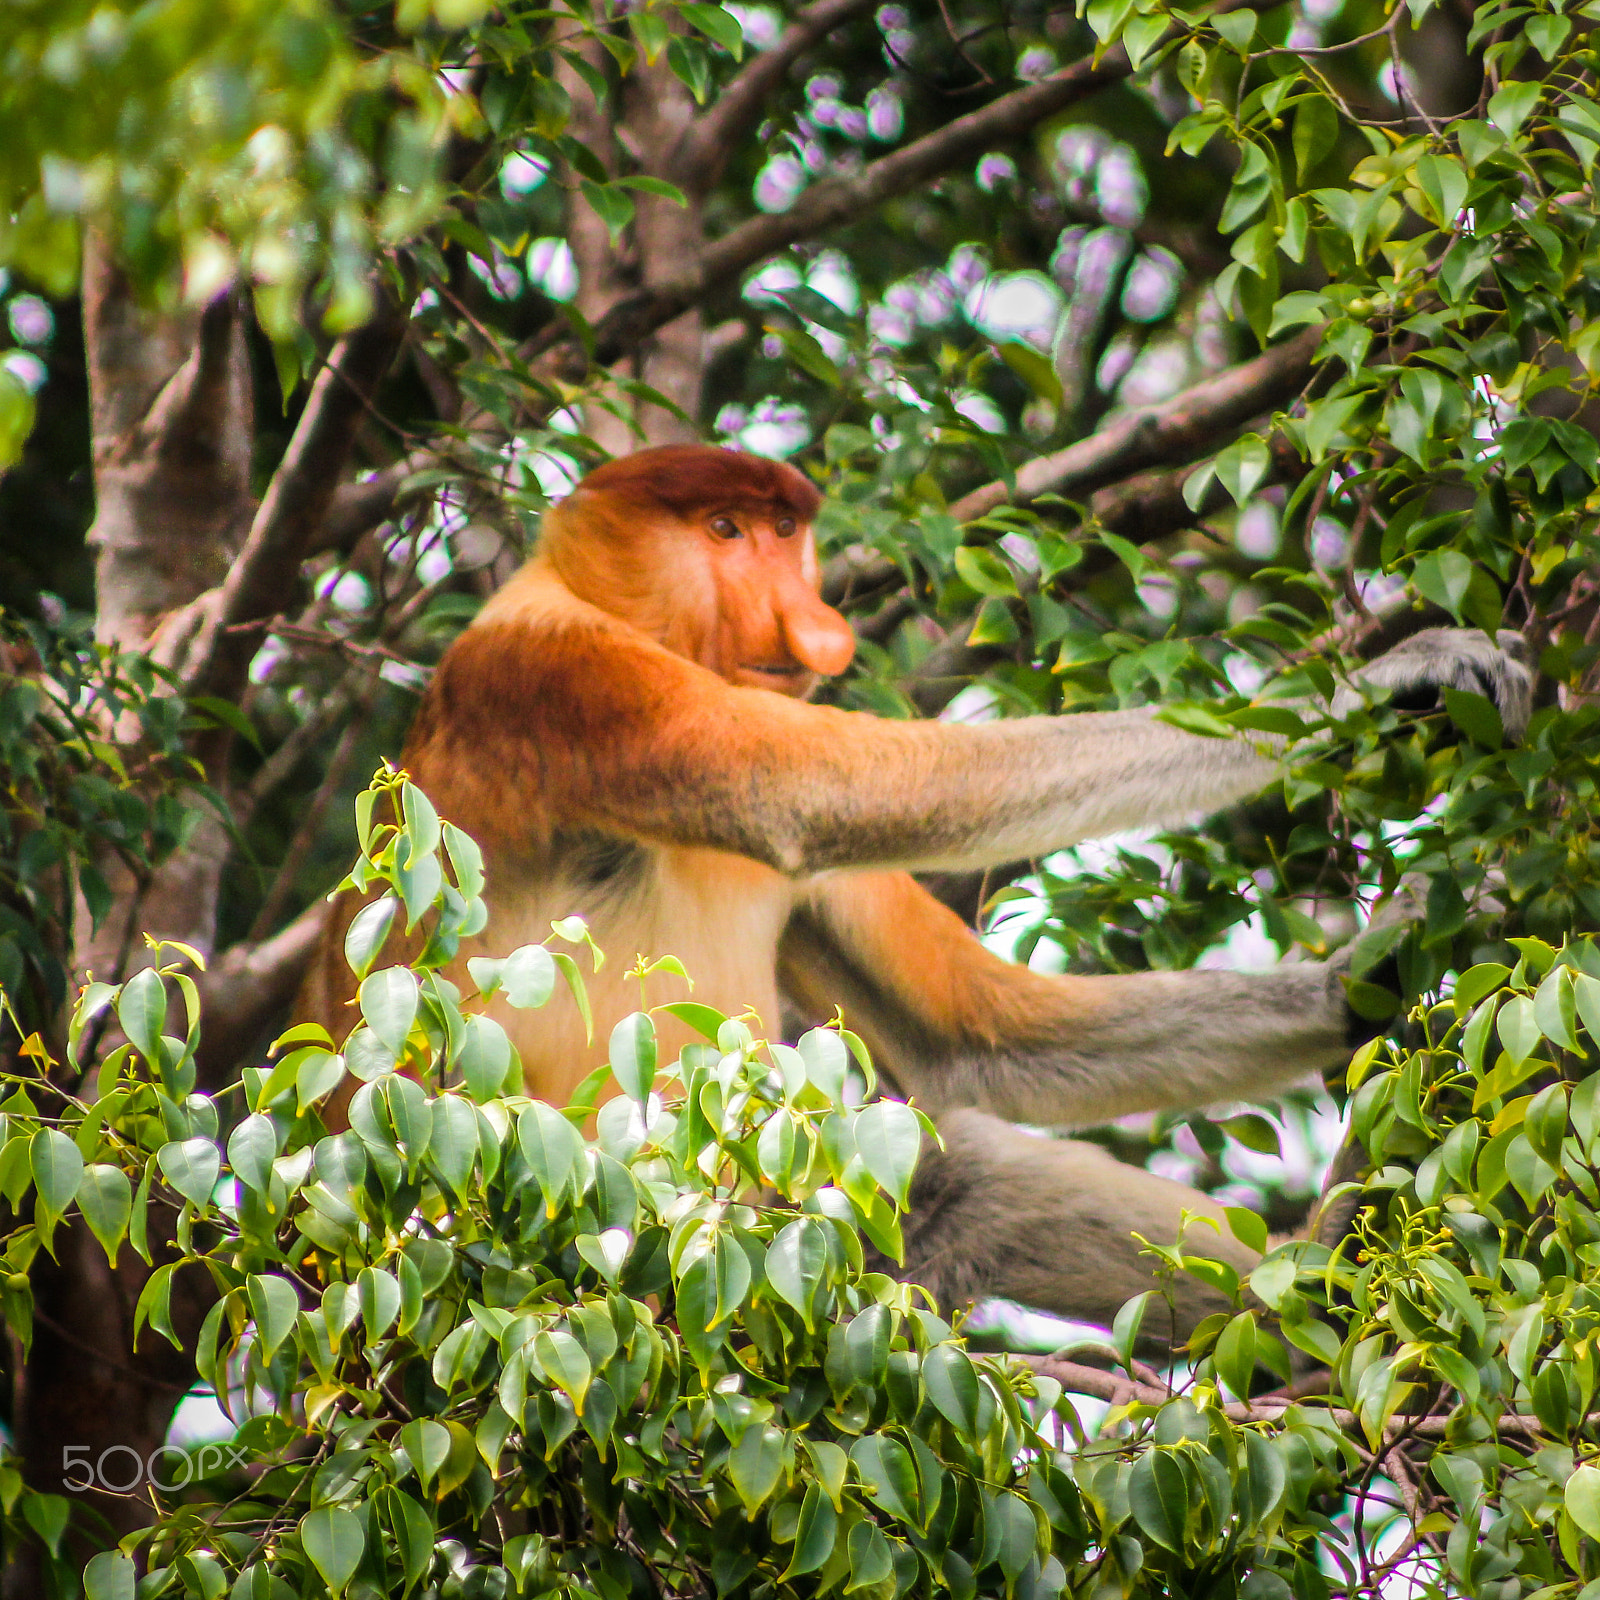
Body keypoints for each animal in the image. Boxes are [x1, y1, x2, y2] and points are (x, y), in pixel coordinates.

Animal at [298, 444, 1531, 1336]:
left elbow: (969, 1041)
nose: (811, 625)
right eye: (722, 531)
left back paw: (1326, 1287)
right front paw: (1378, 688)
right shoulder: (556, 677)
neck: (588, 599)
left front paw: (1378, 975)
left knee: (968, 1176)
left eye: (786, 534)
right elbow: (810, 795)